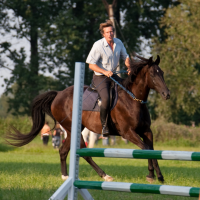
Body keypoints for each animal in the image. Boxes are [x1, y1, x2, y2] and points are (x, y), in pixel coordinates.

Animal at [5, 54, 170, 183]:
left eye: (162, 72)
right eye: (153, 74)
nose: (166, 94)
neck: (133, 99)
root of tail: (58, 94)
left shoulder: (146, 131)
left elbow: (152, 150)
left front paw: (157, 176)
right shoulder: (128, 133)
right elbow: (146, 149)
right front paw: (152, 176)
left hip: (73, 130)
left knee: (63, 151)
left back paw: (65, 176)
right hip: (74, 129)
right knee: (83, 152)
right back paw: (104, 175)